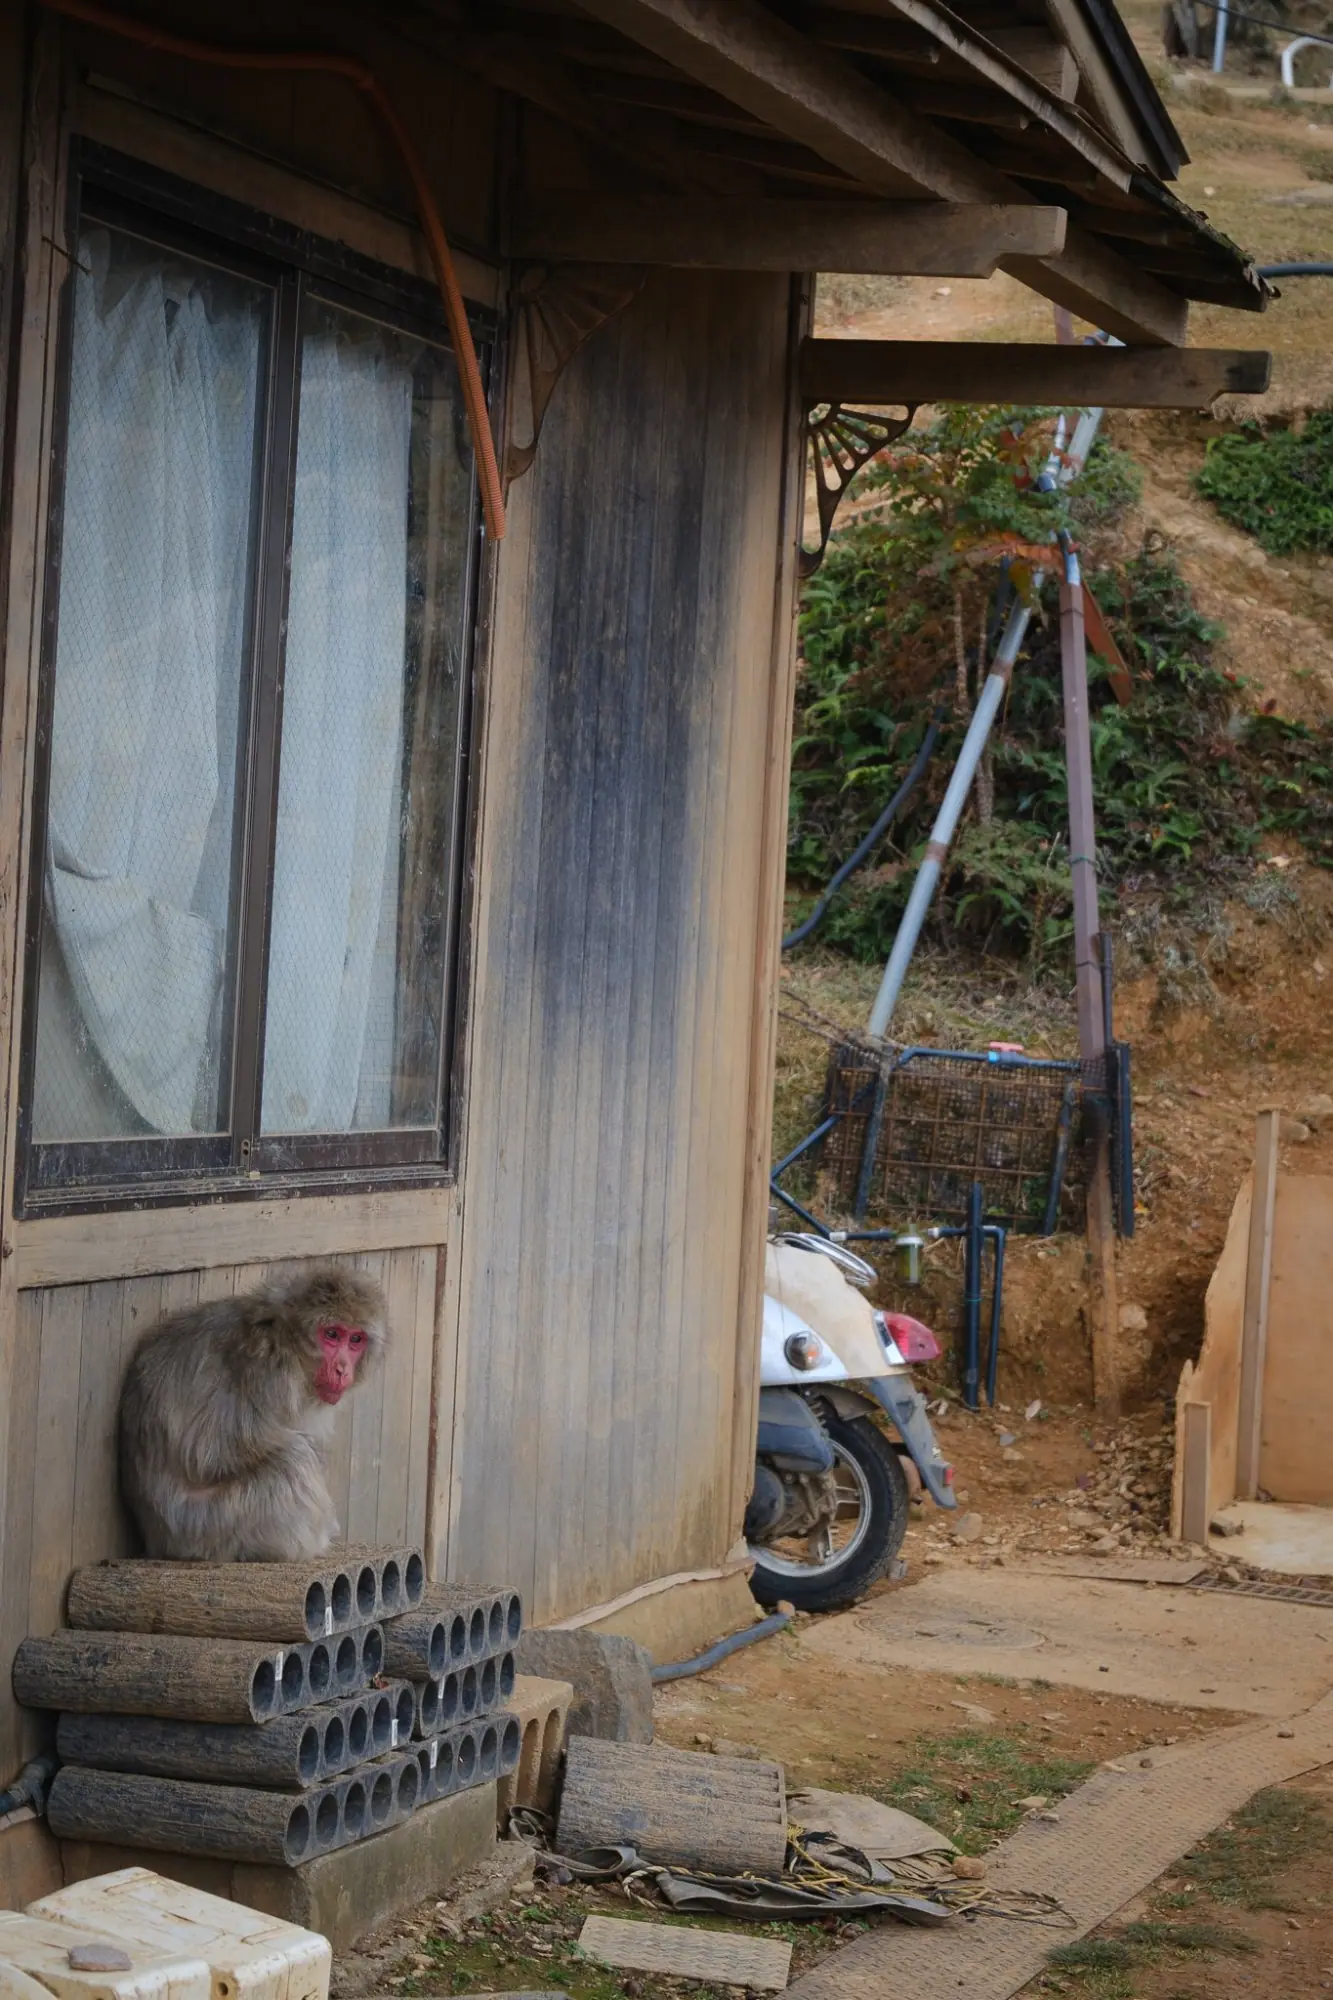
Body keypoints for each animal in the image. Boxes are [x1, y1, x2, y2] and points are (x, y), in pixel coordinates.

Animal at [118, 1266, 387, 1562]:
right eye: (332, 1335)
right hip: (209, 1528)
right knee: (292, 1458)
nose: (342, 1369)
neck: (285, 1338)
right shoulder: (269, 1373)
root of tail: (157, 1542)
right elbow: (210, 1455)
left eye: (355, 1340)